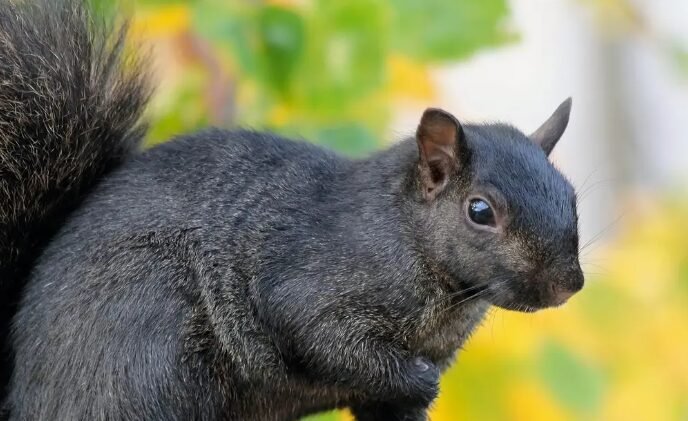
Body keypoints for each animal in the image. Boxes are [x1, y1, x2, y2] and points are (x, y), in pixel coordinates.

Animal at [0, 0, 584, 420]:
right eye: (480, 211)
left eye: (573, 197)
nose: (567, 285)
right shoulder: (311, 285)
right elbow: (323, 337)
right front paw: (421, 378)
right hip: (147, 346)